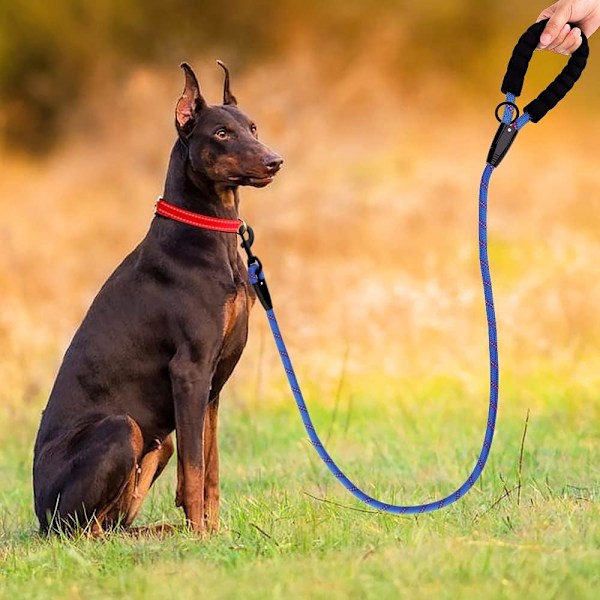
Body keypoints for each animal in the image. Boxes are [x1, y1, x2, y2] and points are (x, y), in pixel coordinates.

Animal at [32, 61, 284, 536]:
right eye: (221, 133)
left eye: (253, 127)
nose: (274, 160)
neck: (210, 232)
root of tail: (39, 515)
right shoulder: (189, 371)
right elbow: (195, 471)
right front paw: (201, 537)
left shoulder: (211, 385)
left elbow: (210, 468)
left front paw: (213, 533)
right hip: (120, 428)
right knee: (83, 530)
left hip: (157, 442)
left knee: (114, 524)